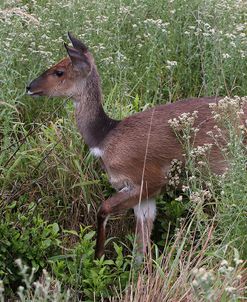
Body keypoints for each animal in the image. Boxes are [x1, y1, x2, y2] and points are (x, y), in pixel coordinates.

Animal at [26, 32, 246, 260]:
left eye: (59, 71)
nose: (29, 87)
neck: (104, 137)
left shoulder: (148, 180)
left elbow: (103, 209)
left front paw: (98, 256)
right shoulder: (145, 198)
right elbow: (140, 250)